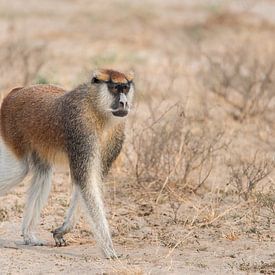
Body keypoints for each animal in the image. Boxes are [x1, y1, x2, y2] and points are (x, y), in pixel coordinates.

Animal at [0, 69, 135, 258]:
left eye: (126, 88)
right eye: (115, 88)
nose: (124, 102)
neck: (97, 108)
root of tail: (15, 91)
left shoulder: (115, 137)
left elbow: (89, 182)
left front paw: (61, 231)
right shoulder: (81, 132)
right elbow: (87, 183)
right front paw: (109, 250)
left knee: (43, 173)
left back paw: (28, 235)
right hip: (11, 130)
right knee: (19, 170)